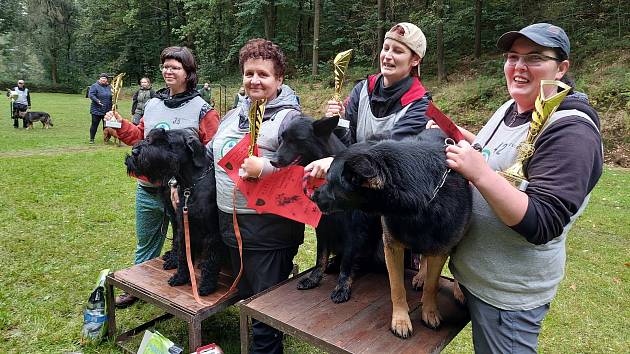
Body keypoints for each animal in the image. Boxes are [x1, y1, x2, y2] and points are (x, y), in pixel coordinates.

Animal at [124, 128, 226, 296]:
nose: (135, 152)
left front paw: (207, 285)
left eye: (165, 141)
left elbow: (211, 260)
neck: (190, 186)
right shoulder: (183, 227)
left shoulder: (212, 233)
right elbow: (183, 255)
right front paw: (180, 277)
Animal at [272, 115, 386, 302]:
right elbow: (321, 256)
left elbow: (347, 262)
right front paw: (314, 278)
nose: (272, 160)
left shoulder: (352, 231)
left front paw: (343, 286)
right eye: (282, 139)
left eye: (296, 140)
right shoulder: (322, 227)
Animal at [314, 129, 472, 338]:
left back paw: (456, 290)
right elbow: (397, 287)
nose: (312, 195)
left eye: (329, 180)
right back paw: (421, 276)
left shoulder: (441, 249)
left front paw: (429, 311)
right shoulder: (392, 246)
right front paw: (400, 320)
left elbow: (432, 285)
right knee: (423, 258)